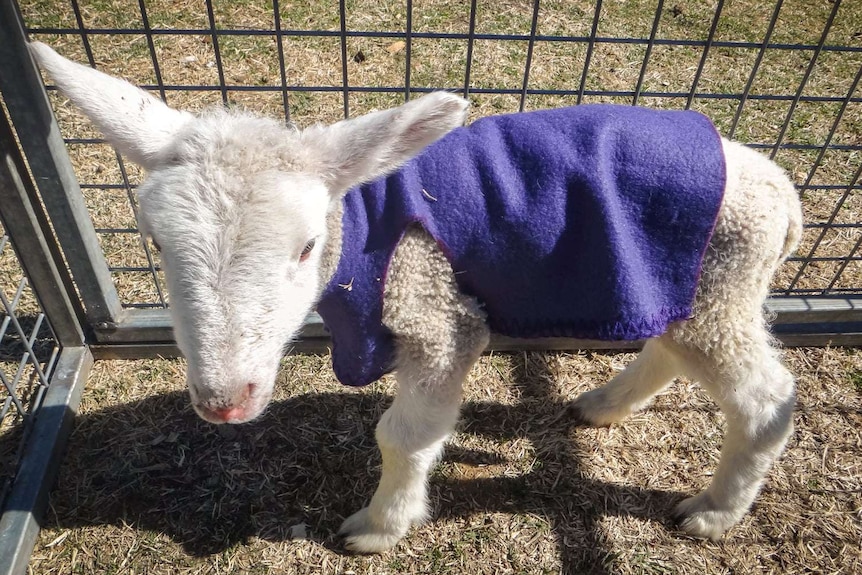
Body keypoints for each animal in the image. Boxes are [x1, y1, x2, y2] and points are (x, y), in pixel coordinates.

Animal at [30, 41, 808, 552]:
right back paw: (601, 405)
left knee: (764, 397)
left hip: (720, 284)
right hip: (690, 287)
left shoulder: (437, 312)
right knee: (669, 348)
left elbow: (404, 434)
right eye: (156, 245)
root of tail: (783, 189)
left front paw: (378, 528)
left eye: (307, 246)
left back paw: (712, 512)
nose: (224, 401)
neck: (362, 225)